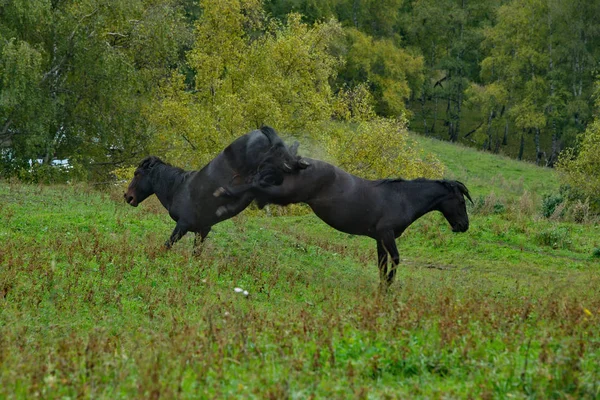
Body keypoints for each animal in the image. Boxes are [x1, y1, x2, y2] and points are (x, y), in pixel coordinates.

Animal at [124, 126, 308, 250]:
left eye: (137, 174)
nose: (128, 196)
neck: (178, 188)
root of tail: (260, 132)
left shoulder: (182, 225)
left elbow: (167, 245)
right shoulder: (202, 230)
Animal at [213, 157, 472, 288]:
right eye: (461, 201)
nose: (464, 226)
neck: (402, 198)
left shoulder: (379, 239)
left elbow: (382, 265)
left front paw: (382, 290)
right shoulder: (387, 235)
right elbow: (396, 261)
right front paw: (389, 287)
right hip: (286, 193)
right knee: (254, 186)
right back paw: (223, 194)